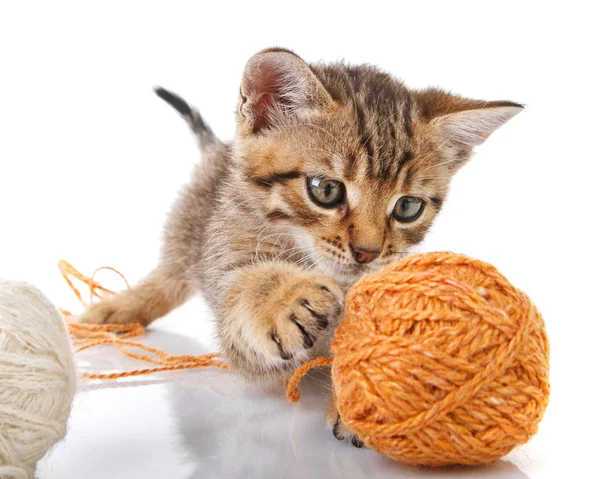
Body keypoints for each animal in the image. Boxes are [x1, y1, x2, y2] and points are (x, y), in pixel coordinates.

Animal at [78, 47, 520, 446]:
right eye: (325, 190)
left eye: (408, 207)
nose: (367, 252)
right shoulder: (228, 281)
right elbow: (247, 294)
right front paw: (284, 299)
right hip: (187, 232)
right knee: (169, 275)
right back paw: (115, 309)